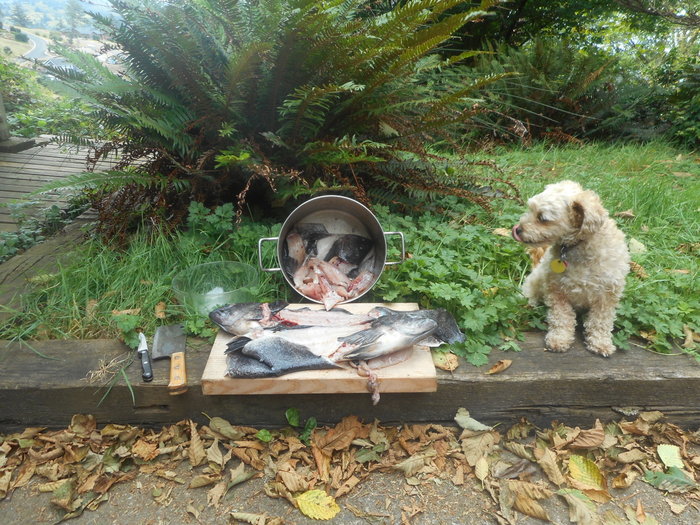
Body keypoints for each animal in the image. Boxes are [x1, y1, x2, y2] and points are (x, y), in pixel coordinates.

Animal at [512, 180, 632, 356]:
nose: (517, 229)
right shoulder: (557, 290)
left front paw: (600, 342)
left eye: (542, 218)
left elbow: (600, 321)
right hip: (535, 283)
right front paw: (559, 339)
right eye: (530, 209)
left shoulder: (607, 295)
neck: (579, 246)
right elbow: (561, 318)